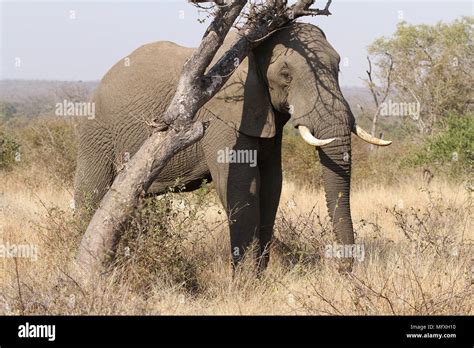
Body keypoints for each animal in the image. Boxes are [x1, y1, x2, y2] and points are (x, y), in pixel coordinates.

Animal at [74, 21, 390, 274]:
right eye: (286, 75)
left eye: (338, 67)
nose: (342, 270)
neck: (252, 45)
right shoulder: (222, 114)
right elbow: (239, 183)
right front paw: (246, 280)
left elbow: (271, 183)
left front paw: (259, 277)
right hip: (96, 134)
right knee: (93, 192)